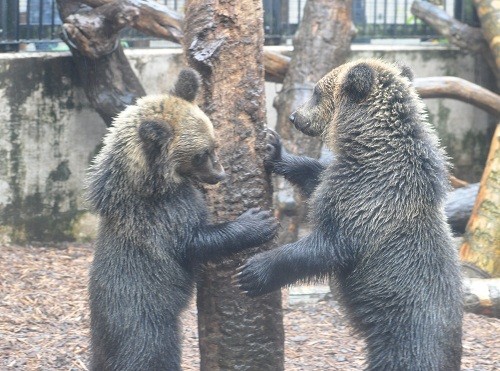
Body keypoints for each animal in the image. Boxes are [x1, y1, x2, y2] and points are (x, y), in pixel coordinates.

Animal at [86, 67, 278, 371]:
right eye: (201, 155)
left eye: (215, 144)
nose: (220, 174)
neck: (150, 184)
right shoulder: (164, 218)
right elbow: (195, 242)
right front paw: (257, 222)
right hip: (147, 326)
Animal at [238, 59, 460, 370]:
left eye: (316, 92)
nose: (295, 117)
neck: (370, 149)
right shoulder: (347, 181)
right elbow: (315, 177)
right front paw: (273, 149)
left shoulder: (369, 202)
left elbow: (330, 246)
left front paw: (254, 270)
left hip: (405, 337)